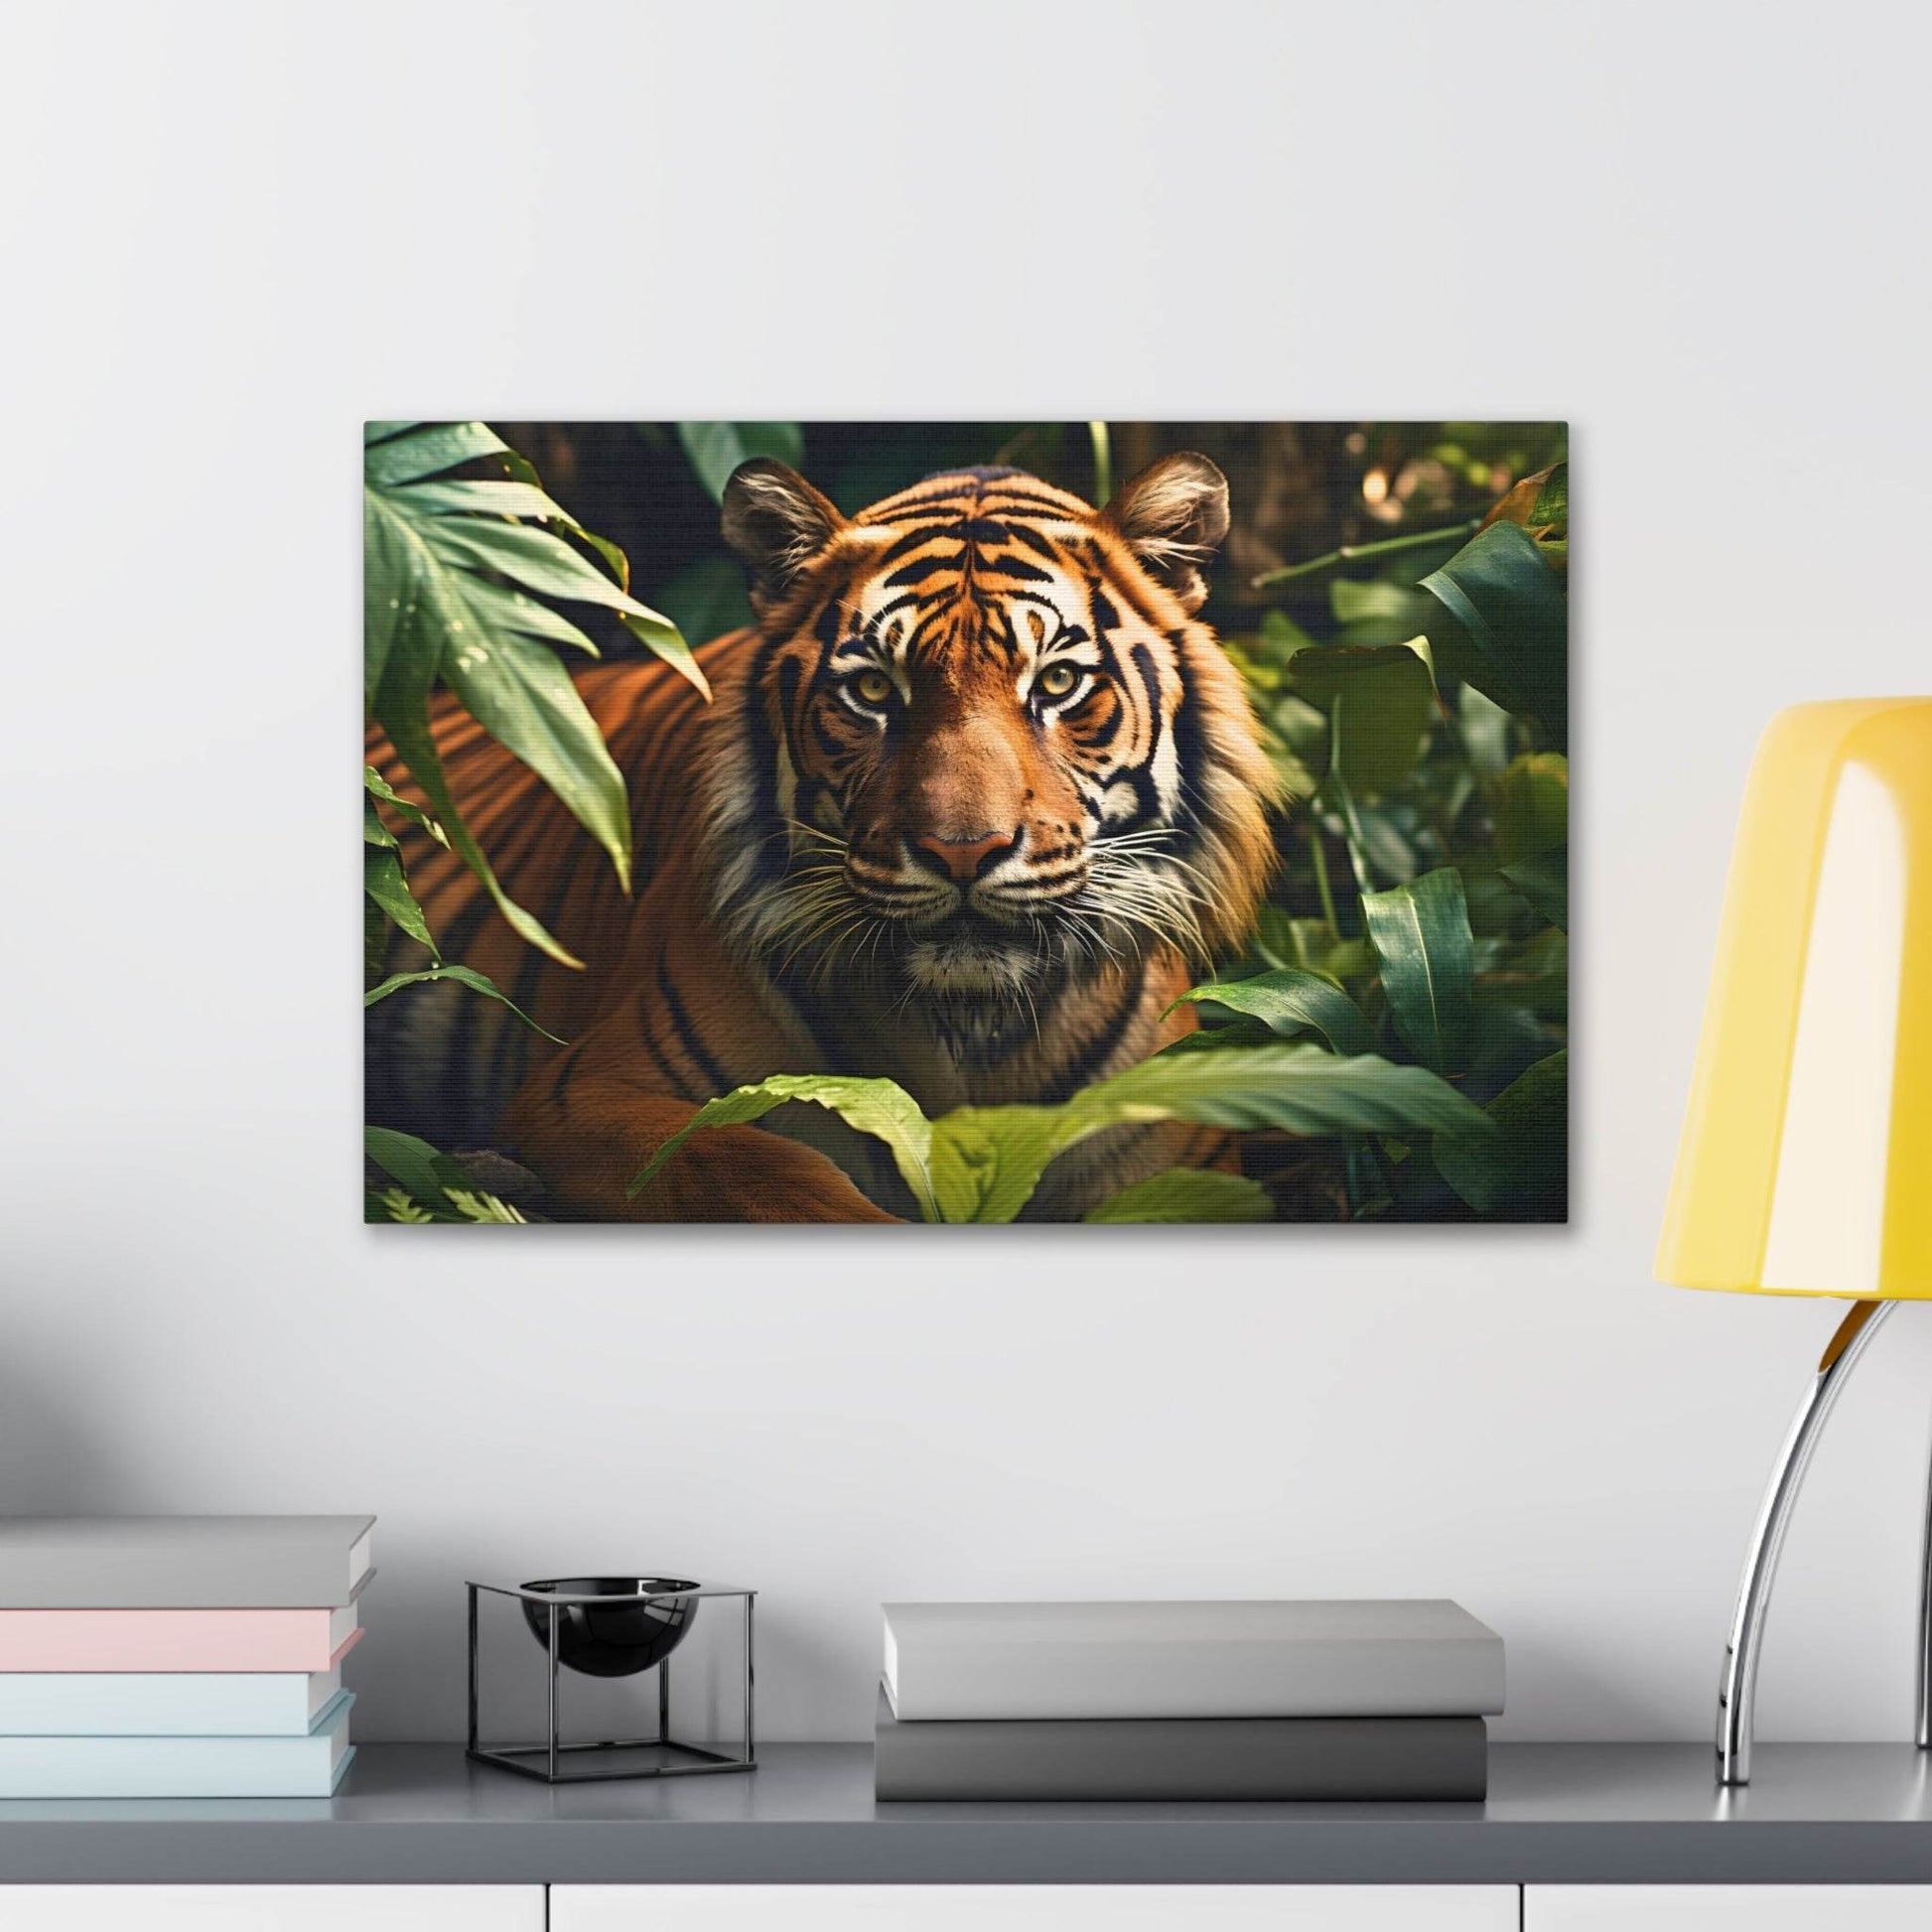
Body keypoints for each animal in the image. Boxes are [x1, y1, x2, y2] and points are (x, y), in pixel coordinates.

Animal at [366, 453, 1280, 1222]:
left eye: (1057, 682)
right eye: (873, 691)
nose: (962, 851)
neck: (967, 1033)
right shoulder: (587, 1091)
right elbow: (758, 1167)